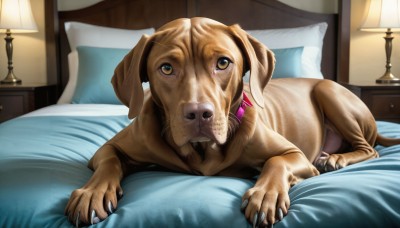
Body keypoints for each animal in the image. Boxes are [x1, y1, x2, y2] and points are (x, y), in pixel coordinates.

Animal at [65, 17, 400, 226]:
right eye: (166, 68)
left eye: (223, 63)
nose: (199, 113)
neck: (203, 151)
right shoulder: (108, 149)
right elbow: (110, 161)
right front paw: (92, 192)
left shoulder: (295, 155)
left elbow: (276, 162)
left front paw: (265, 195)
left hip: (329, 91)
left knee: (369, 149)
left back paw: (337, 158)